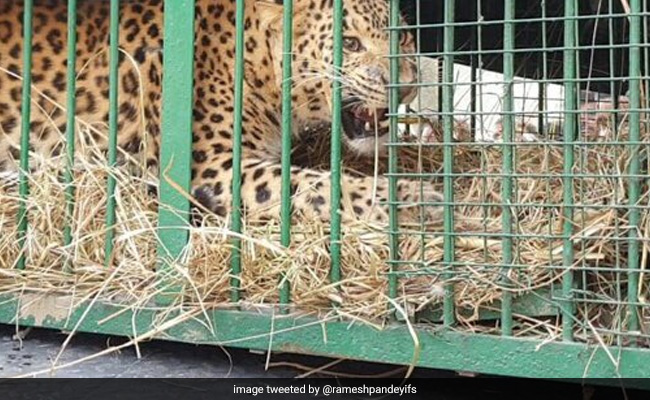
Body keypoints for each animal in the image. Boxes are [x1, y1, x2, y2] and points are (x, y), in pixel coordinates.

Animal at [0, 0, 442, 226]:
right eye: (349, 43)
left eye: (403, 36)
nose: (403, 83)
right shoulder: (208, 167)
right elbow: (315, 185)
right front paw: (414, 198)